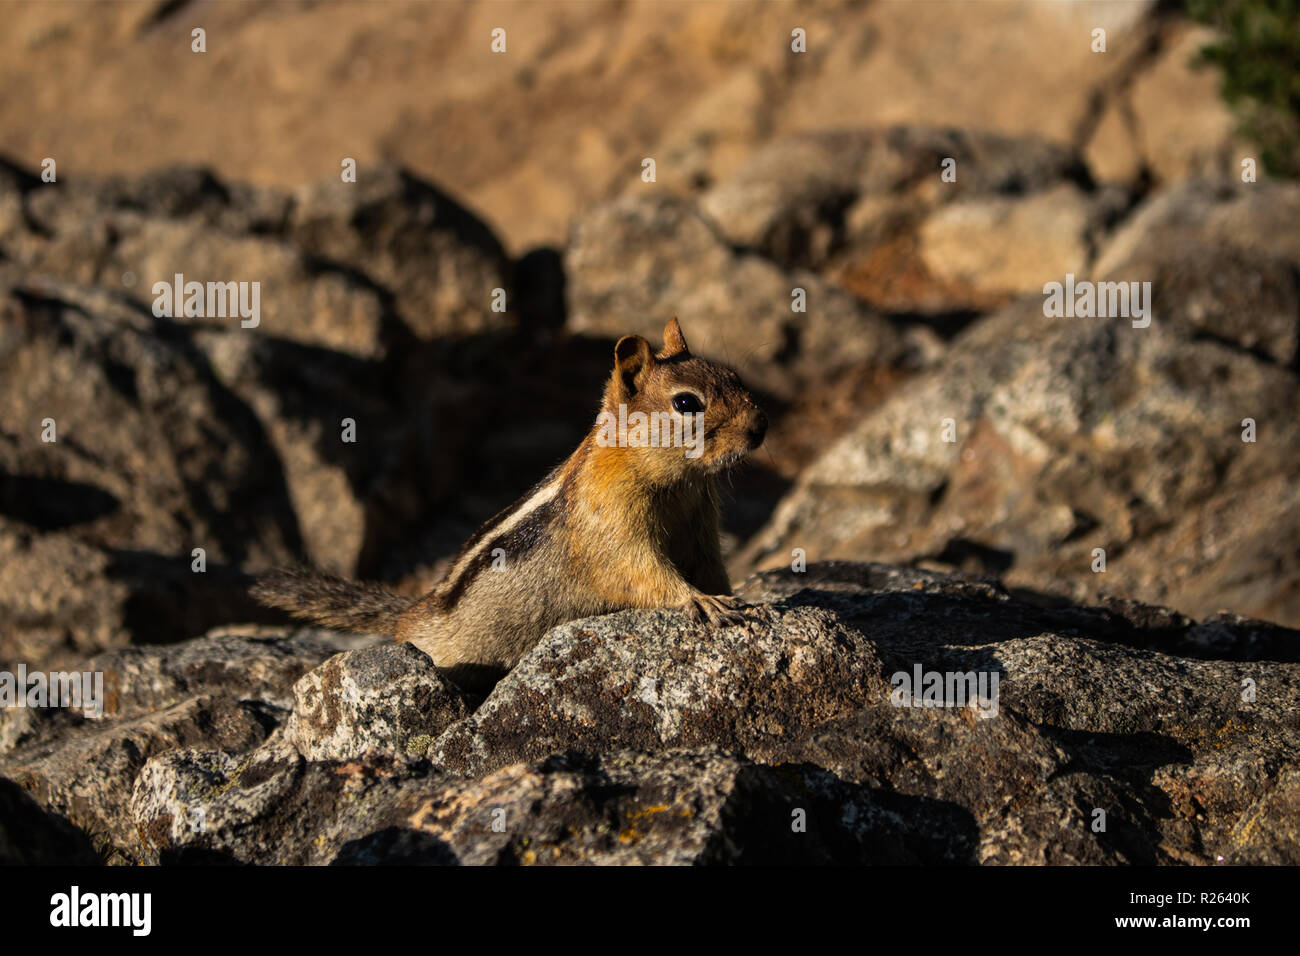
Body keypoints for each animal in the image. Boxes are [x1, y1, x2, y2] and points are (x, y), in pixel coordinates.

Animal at [252, 317, 767, 691]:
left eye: (733, 376)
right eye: (686, 404)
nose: (760, 427)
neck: (676, 480)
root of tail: (410, 615)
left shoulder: (701, 525)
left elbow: (711, 566)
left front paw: (736, 598)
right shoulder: (613, 525)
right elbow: (642, 571)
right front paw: (700, 601)